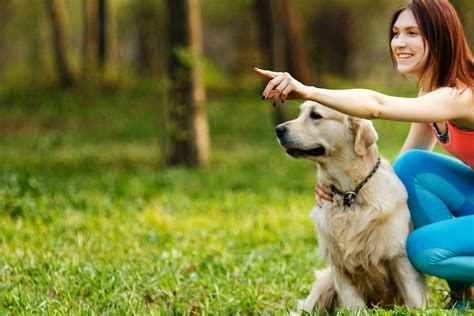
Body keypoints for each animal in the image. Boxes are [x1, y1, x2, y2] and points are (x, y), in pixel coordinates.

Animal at [274, 102, 426, 314]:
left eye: (315, 115)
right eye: (300, 113)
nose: (278, 129)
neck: (349, 194)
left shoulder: (398, 254)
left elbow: (413, 296)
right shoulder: (339, 266)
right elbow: (354, 305)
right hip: (324, 284)